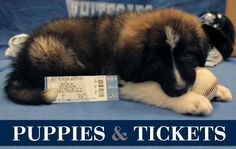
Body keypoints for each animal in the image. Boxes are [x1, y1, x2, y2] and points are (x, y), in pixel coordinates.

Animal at [4, 7, 231, 114]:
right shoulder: (119, 79)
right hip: (54, 52)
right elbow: (153, 88)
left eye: (186, 56)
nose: (180, 89)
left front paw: (218, 89)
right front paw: (190, 100)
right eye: (157, 61)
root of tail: (20, 62)